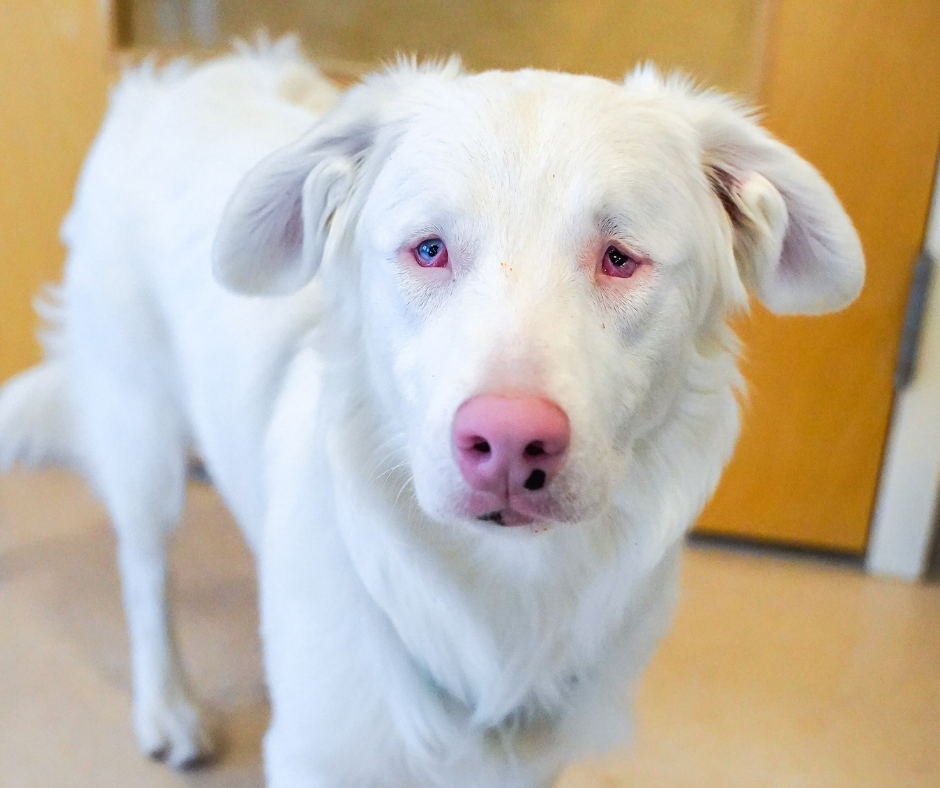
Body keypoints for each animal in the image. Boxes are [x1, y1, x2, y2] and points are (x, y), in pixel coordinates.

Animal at [0, 38, 864, 788]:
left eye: (620, 258)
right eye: (429, 250)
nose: (510, 444)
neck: (503, 593)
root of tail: (169, 80)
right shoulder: (316, 755)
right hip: (141, 435)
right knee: (144, 576)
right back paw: (169, 707)